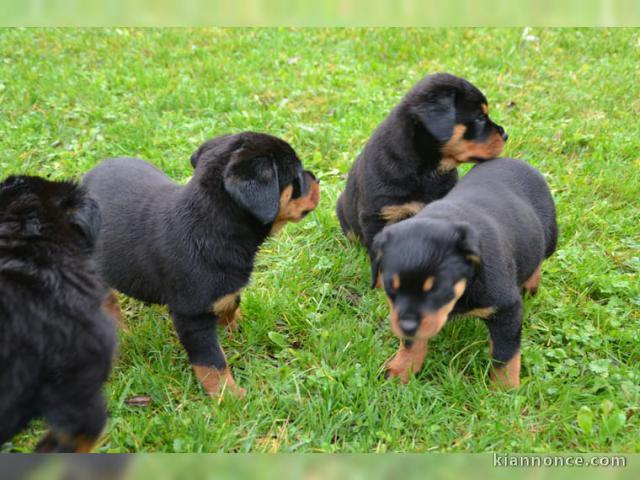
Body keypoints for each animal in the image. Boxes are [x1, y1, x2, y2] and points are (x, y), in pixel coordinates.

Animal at [84, 130, 320, 398]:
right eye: (297, 176)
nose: (316, 178)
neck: (210, 225)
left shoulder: (226, 284)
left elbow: (231, 301)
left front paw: (234, 328)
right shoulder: (192, 315)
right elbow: (212, 361)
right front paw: (229, 395)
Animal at [370, 159, 556, 388]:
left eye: (438, 289)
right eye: (391, 287)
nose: (406, 326)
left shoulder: (507, 310)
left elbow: (505, 355)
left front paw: (504, 388)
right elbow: (411, 342)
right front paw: (402, 369)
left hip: (550, 236)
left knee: (539, 254)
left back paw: (531, 284)